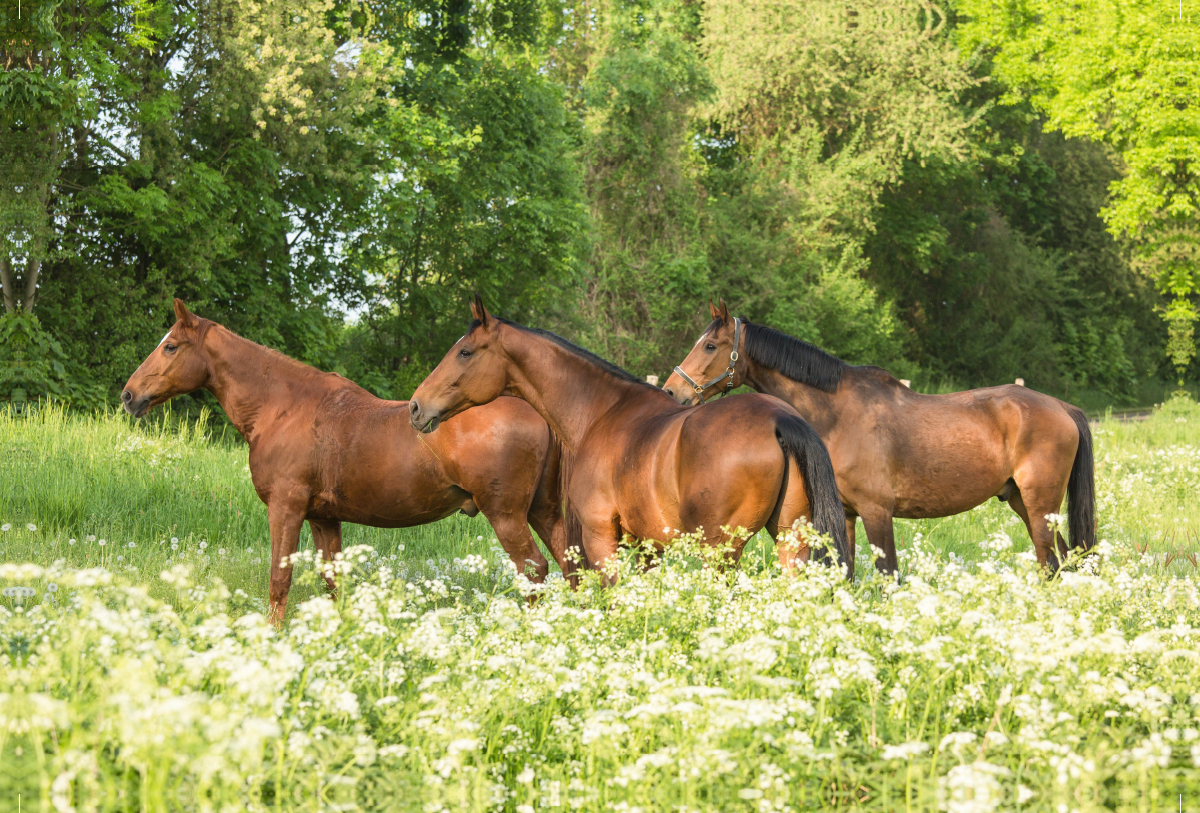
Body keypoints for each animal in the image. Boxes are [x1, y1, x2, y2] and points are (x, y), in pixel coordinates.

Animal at [121, 299, 566, 623]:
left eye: (170, 346)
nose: (128, 395)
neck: (281, 408)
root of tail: (539, 413)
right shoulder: (324, 518)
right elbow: (331, 583)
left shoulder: (286, 509)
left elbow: (279, 580)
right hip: (543, 513)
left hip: (506, 515)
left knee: (536, 571)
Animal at [408, 296, 849, 582]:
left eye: (465, 352)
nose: (415, 406)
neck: (601, 412)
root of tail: (779, 419)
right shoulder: (647, 547)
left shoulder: (601, 536)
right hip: (792, 541)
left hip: (720, 551)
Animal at [667, 302, 1099, 575]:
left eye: (710, 345)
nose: (674, 391)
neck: (837, 415)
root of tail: (1063, 408)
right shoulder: (847, 515)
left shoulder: (877, 514)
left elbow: (886, 576)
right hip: (1024, 503)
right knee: (1065, 561)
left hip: (1040, 507)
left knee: (1052, 563)